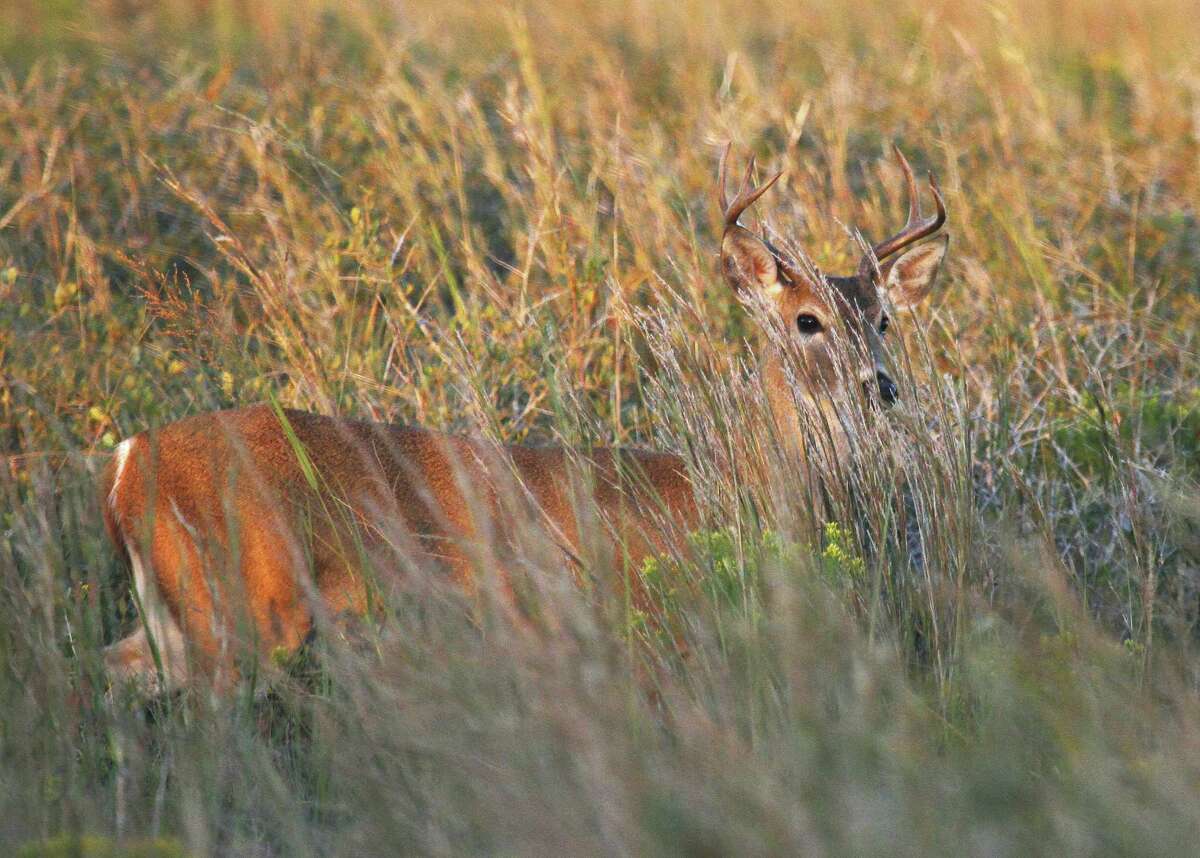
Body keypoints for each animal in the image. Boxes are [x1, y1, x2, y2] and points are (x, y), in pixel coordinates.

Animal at [97, 144, 948, 697]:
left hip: (181, 611)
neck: (733, 481)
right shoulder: (650, 621)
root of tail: (129, 460)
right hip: (243, 603)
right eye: (807, 321)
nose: (880, 387)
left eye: (882, 319)